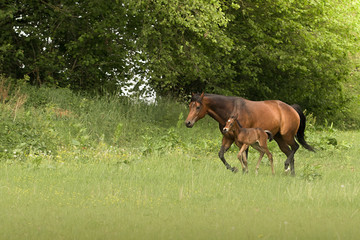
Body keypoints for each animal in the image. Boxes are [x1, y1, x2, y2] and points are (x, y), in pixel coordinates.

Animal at [184, 93, 314, 175]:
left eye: (198, 107)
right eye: (190, 106)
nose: (188, 122)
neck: (232, 109)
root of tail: (291, 108)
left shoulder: (245, 140)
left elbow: (243, 156)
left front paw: (244, 171)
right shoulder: (228, 138)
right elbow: (221, 155)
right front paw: (234, 169)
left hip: (287, 136)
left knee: (295, 147)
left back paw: (286, 166)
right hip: (279, 139)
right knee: (289, 152)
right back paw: (291, 173)